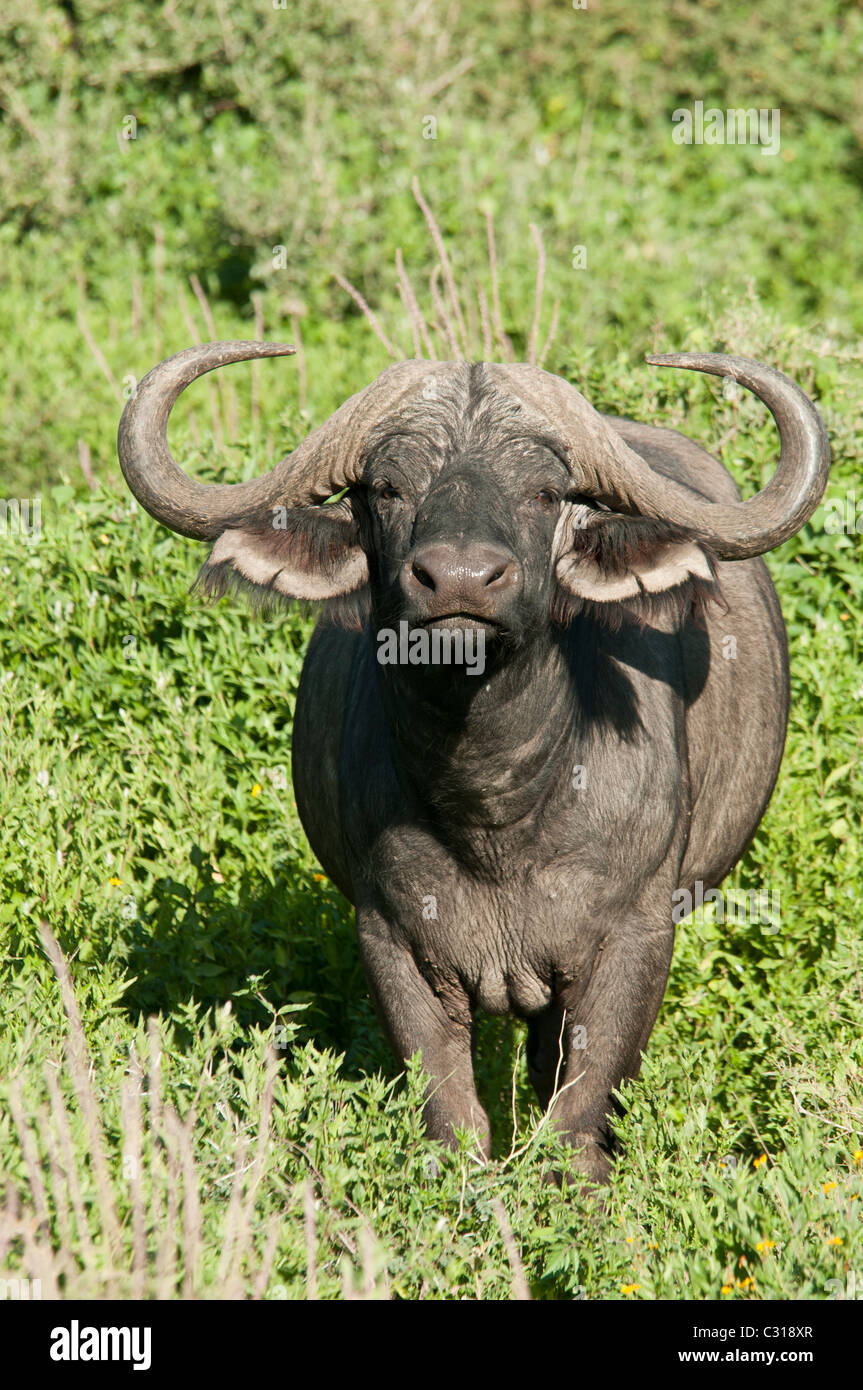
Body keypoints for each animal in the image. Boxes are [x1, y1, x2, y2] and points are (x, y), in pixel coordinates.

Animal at [116, 347, 828, 1184]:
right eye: (387, 488)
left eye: (544, 492)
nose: (458, 581)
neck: (495, 804)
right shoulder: (391, 939)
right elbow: (449, 1114)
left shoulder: (635, 936)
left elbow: (579, 1115)